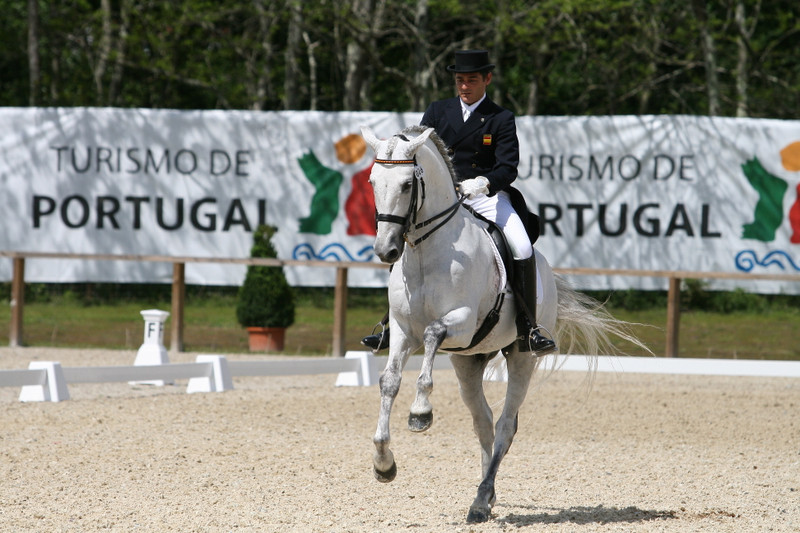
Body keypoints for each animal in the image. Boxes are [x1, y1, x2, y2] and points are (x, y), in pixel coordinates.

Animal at [362, 125, 644, 524]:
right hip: (467, 359)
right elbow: (389, 382)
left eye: (405, 185)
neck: (426, 252)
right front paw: (384, 463)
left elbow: (433, 334)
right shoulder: (402, 332)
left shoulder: (460, 321)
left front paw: (420, 412)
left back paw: (481, 501)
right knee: (483, 421)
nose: (385, 250)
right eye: (373, 182)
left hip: (522, 355)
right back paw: (486, 494)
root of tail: (546, 272)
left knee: (506, 425)